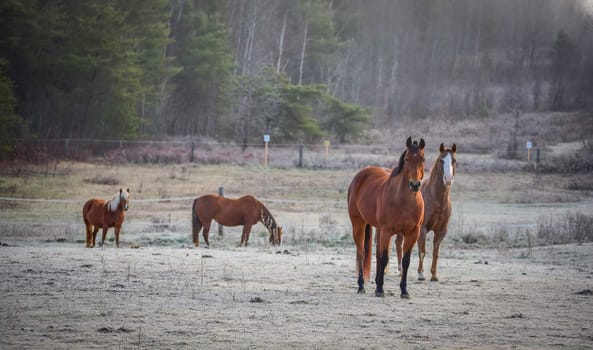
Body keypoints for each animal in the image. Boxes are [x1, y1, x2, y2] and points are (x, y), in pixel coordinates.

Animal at [346, 137, 426, 298]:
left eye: (423, 159)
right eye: (407, 159)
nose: (414, 184)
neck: (404, 201)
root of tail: (360, 175)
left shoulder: (413, 233)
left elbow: (405, 261)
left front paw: (404, 290)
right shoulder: (387, 231)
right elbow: (384, 259)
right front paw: (379, 289)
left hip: (378, 229)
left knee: (375, 254)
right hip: (359, 225)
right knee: (361, 253)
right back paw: (361, 286)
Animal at [396, 142, 456, 282]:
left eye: (454, 161)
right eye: (441, 160)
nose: (448, 179)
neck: (436, 199)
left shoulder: (441, 231)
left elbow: (436, 252)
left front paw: (434, 275)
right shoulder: (422, 229)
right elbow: (422, 251)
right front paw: (421, 274)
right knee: (398, 244)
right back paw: (398, 270)